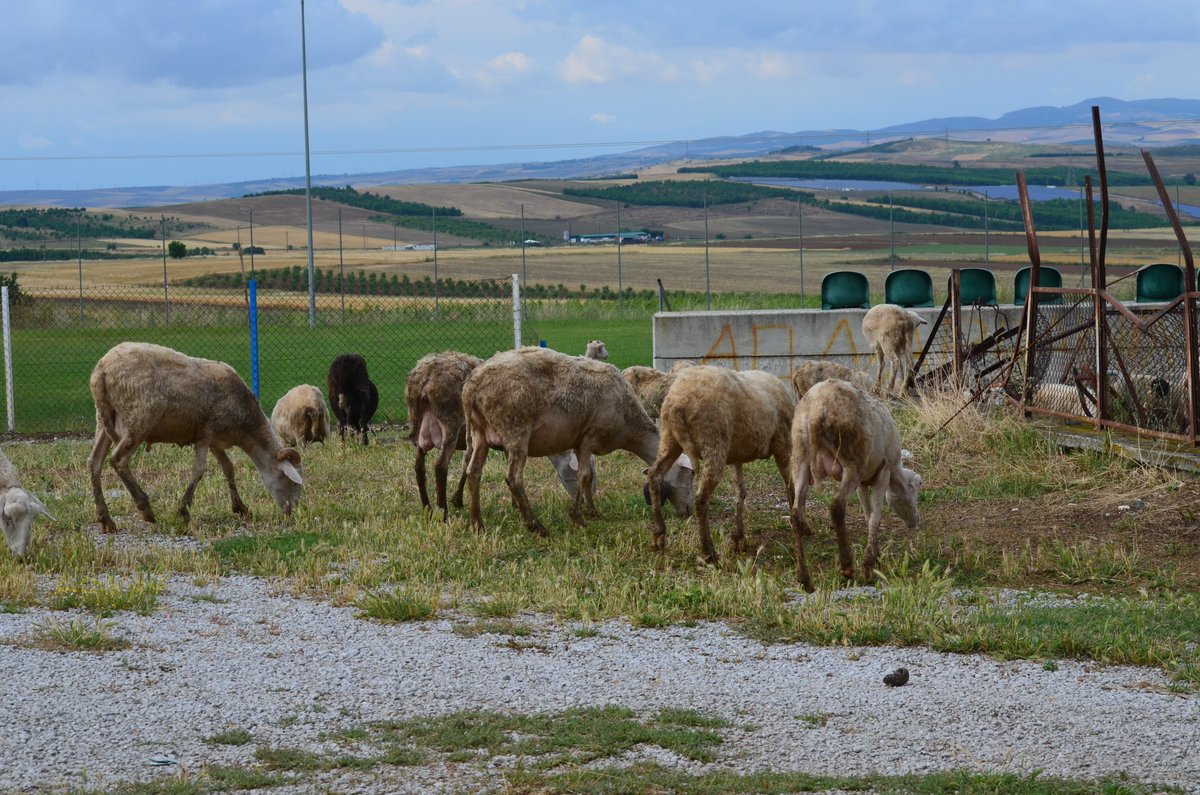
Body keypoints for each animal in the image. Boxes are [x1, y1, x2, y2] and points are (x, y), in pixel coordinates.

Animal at [88, 342, 304, 534]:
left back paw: (106, 520)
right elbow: (199, 471)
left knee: (94, 462)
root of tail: (101, 371)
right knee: (118, 460)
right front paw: (184, 512)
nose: (292, 512)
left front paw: (240, 508)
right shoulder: (206, 433)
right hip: (138, 419)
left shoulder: (216, 441)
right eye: (292, 481)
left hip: (104, 420)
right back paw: (146, 509)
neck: (245, 427)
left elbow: (228, 469)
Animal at [405, 351, 483, 520]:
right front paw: (457, 499)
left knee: (419, 467)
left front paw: (457, 499)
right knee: (440, 466)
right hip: (450, 424)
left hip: (418, 426)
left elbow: (466, 464)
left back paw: (427, 509)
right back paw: (443, 513)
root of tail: (425, 378)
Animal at [462, 346, 694, 534]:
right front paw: (578, 518)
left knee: (473, 473)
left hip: (479, 433)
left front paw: (591, 510)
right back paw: (535, 526)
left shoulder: (578, 442)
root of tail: (472, 386)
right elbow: (583, 475)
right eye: (690, 476)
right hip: (515, 429)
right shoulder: (589, 437)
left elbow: (589, 476)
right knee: (513, 478)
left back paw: (477, 524)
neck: (629, 423)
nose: (690, 511)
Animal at [645, 365, 795, 566]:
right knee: (701, 500)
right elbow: (790, 485)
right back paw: (709, 553)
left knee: (655, 475)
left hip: (669, 439)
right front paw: (800, 525)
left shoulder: (736, 455)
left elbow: (740, 491)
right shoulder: (783, 444)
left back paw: (659, 535)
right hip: (713, 441)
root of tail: (677, 403)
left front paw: (738, 538)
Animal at [788, 379, 921, 592]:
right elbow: (875, 517)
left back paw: (804, 578)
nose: (915, 520)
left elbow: (868, 515)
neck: (896, 472)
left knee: (795, 514)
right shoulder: (882, 473)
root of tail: (816, 409)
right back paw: (847, 566)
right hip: (852, 459)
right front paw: (869, 566)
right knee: (836, 506)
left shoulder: (863, 482)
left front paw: (876, 556)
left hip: (800, 456)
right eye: (917, 486)